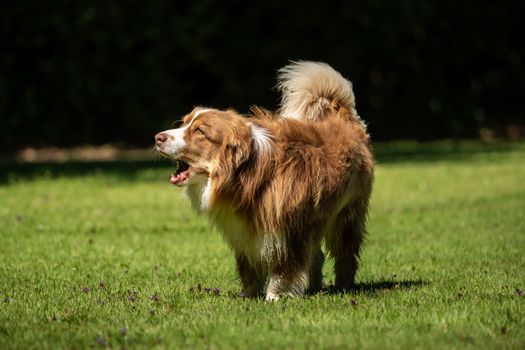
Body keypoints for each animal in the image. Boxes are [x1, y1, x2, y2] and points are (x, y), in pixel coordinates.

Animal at [156, 60, 372, 300]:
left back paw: (343, 285)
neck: (246, 174)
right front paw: (249, 294)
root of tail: (343, 117)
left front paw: (276, 297)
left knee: (345, 253)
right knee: (316, 255)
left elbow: (285, 266)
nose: (158, 137)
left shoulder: (288, 227)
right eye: (183, 123)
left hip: (347, 214)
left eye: (199, 132)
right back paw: (314, 286)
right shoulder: (243, 229)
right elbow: (248, 265)